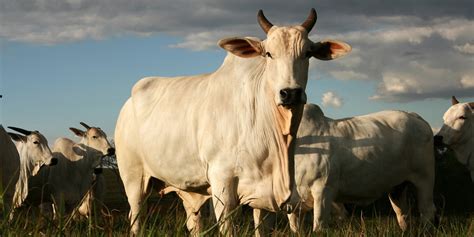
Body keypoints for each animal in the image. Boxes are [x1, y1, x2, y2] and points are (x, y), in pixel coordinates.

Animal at [115, 7, 352, 235]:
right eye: (268, 54)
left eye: (308, 53)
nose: (290, 93)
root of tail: (128, 103)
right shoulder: (222, 182)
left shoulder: (265, 196)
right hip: (133, 178)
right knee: (136, 217)